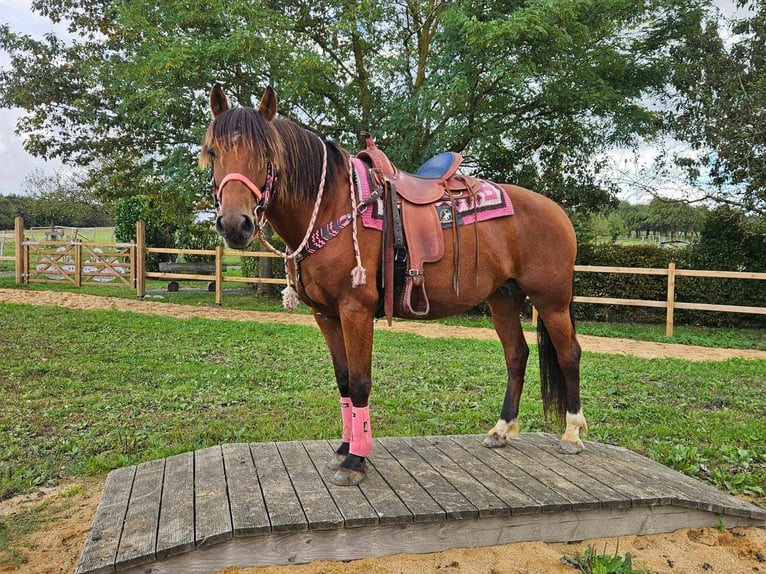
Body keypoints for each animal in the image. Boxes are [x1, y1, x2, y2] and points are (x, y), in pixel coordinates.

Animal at [200, 85, 588, 488]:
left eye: (266, 155)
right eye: (213, 153)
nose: (234, 225)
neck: (332, 207)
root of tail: (557, 211)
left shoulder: (355, 310)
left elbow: (359, 382)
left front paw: (355, 460)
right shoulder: (326, 314)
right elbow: (343, 380)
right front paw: (345, 446)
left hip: (551, 301)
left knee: (569, 354)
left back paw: (572, 434)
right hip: (504, 298)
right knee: (516, 355)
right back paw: (501, 430)